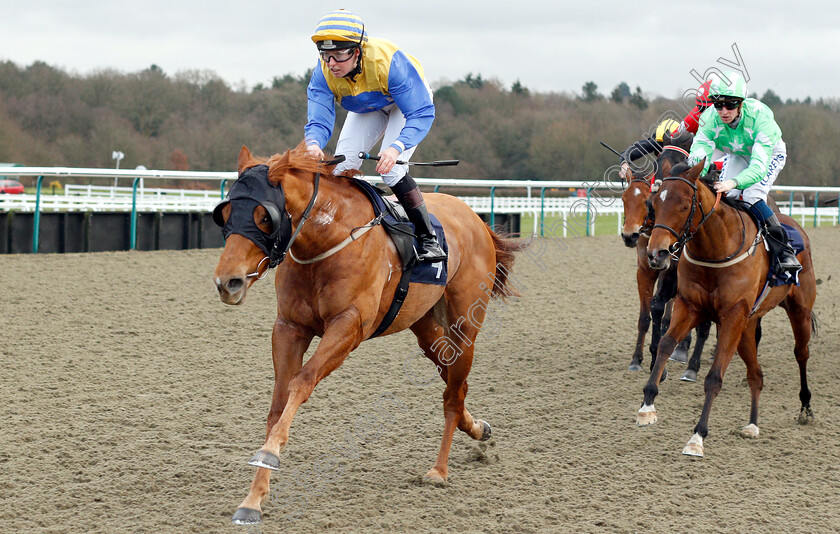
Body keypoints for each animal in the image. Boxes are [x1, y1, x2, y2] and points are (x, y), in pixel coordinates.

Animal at [213, 143, 520, 528]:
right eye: (224, 213)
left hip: (464, 326)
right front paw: (253, 499)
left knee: (453, 394)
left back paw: (439, 470)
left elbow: (302, 382)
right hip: (426, 330)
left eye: (264, 216)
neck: (328, 240)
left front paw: (268, 456)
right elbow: (279, 402)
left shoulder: (349, 326)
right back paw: (478, 428)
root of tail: (475, 218)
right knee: (455, 385)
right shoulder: (289, 327)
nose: (228, 282)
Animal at [620, 130, 712, 382]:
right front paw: (638, 360)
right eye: (624, 199)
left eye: (645, 202)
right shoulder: (646, 269)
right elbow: (647, 315)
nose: (629, 235)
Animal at [636, 159, 812, 456]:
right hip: (748, 327)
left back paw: (806, 407)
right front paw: (647, 406)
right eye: (654, 204)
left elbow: (715, 376)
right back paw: (752, 424)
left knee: (801, 353)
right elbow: (666, 344)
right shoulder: (690, 306)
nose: (656, 254)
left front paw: (697, 437)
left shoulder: (732, 316)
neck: (716, 247)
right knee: (756, 374)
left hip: (799, 310)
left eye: (684, 204)